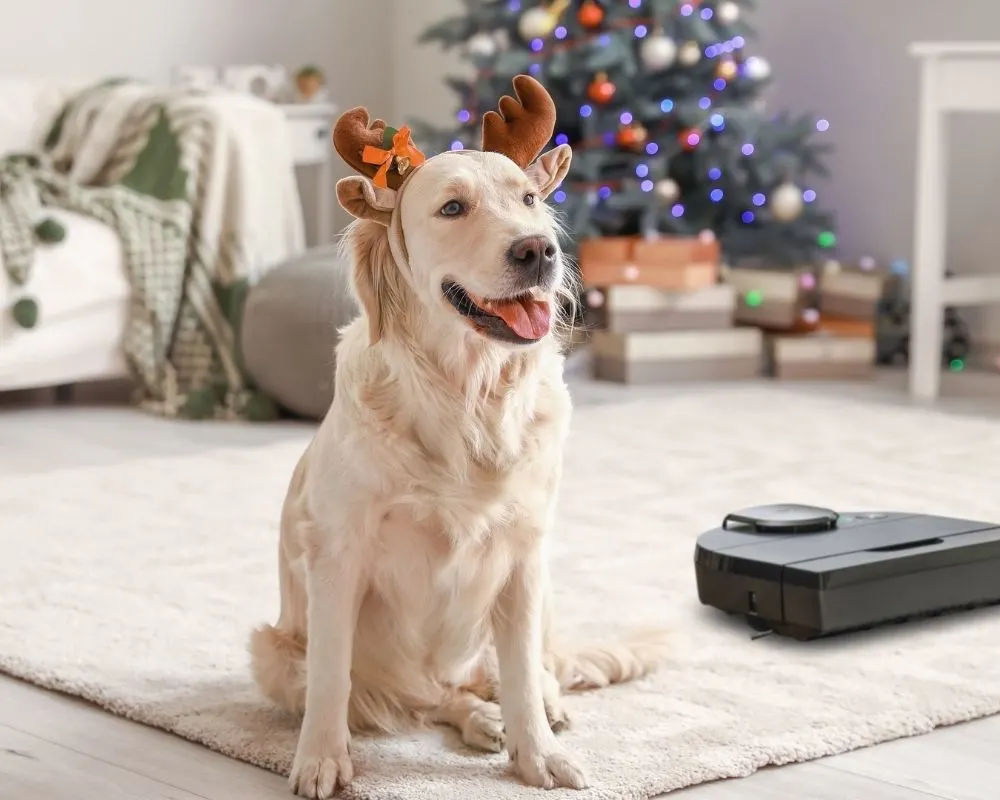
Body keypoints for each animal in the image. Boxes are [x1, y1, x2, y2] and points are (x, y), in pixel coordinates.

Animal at [249, 73, 664, 792]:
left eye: (528, 199)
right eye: (451, 208)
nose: (537, 249)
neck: (468, 397)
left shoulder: (524, 553)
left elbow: (521, 669)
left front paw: (536, 753)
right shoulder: (339, 553)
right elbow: (331, 677)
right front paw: (321, 759)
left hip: (543, 589)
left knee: (519, 672)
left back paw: (534, 710)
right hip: (272, 651)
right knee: (428, 696)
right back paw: (478, 719)